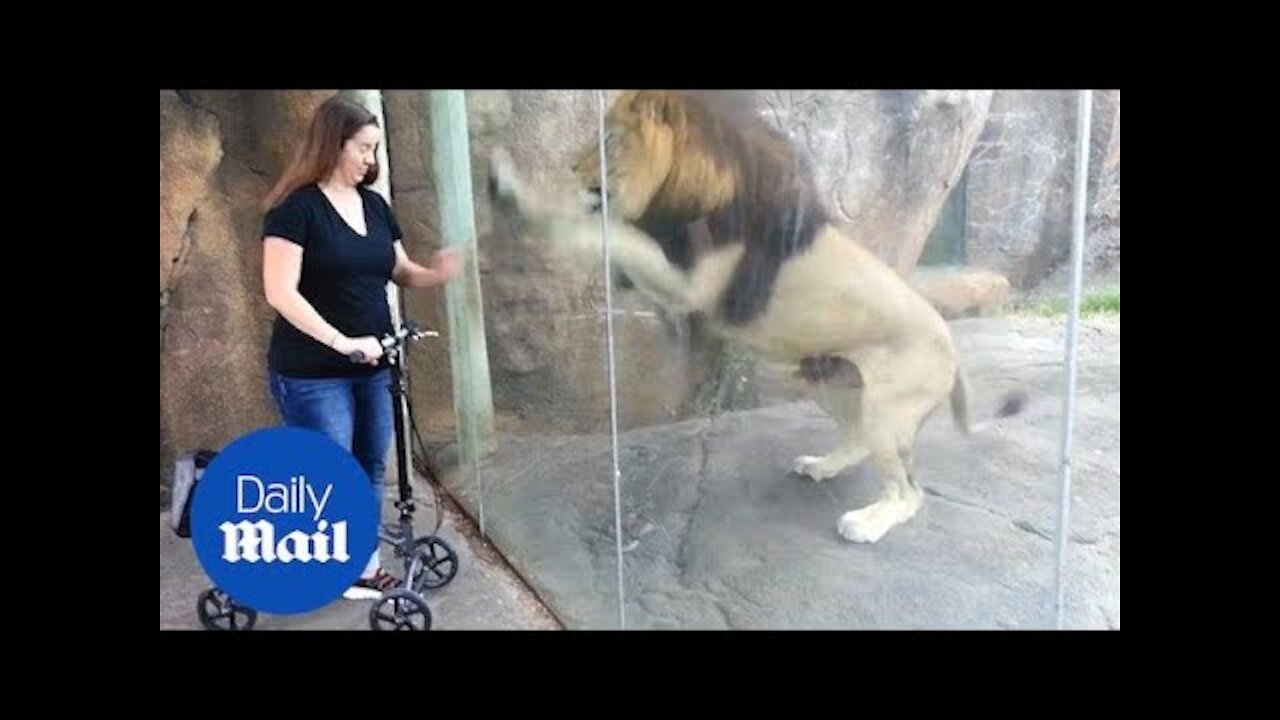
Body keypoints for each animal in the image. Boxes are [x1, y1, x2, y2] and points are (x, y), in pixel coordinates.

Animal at [483, 89, 1024, 540]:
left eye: (609, 140)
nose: (572, 170)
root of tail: (952, 348)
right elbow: (616, 238)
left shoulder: (692, 286)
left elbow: (614, 234)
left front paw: (522, 193)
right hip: (833, 381)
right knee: (857, 441)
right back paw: (820, 466)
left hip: (887, 408)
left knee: (910, 491)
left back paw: (867, 523)